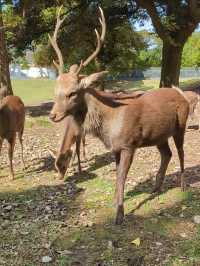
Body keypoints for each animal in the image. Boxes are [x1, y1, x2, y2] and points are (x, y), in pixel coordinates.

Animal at [48, 6, 189, 224]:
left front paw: (120, 214)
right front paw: (115, 203)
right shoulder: (114, 147)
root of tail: (182, 95)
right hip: (159, 135)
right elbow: (116, 175)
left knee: (181, 153)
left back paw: (182, 186)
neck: (109, 125)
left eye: (72, 92)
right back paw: (156, 188)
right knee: (167, 154)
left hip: (181, 125)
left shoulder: (128, 144)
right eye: (55, 90)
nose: (53, 115)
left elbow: (122, 176)